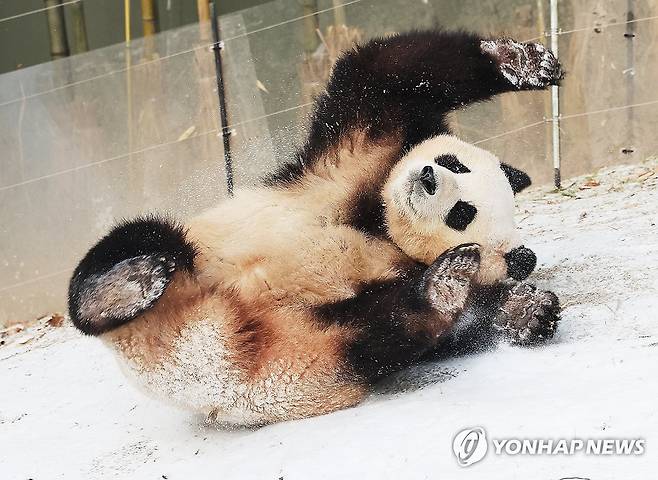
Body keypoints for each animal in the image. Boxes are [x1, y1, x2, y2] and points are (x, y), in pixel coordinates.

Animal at [68, 31, 560, 426]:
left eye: (461, 212)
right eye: (453, 163)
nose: (426, 178)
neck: (382, 227)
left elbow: (469, 320)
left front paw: (529, 310)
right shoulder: (348, 171)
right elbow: (386, 78)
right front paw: (524, 62)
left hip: (307, 355)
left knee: (381, 331)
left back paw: (442, 285)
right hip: (194, 253)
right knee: (138, 243)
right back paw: (129, 282)